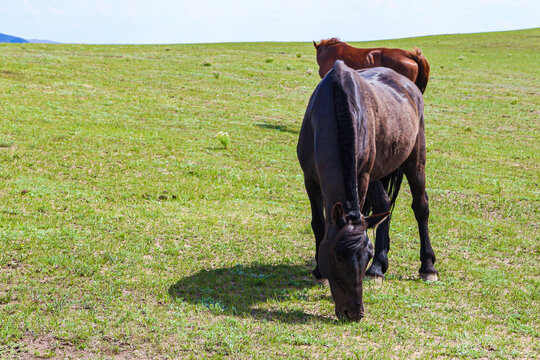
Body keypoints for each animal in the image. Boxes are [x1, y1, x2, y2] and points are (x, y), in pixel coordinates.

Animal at [298, 61, 436, 320]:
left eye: (366, 255)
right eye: (337, 256)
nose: (354, 313)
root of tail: (408, 85)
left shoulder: (361, 176)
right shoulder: (310, 179)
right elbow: (318, 223)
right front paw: (319, 272)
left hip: (414, 159)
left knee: (421, 207)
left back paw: (426, 266)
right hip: (377, 173)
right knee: (384, 206)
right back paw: (381, 266)